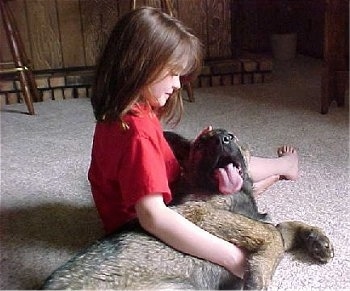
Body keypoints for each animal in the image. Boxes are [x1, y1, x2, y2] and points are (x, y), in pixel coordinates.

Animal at [41, 129, 334, 290]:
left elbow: (284, 228)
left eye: (232, 137)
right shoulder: (197, 213)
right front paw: (258, 277)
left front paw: (317, 240)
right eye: (203, 143)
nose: (223, 140)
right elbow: (271, 233)